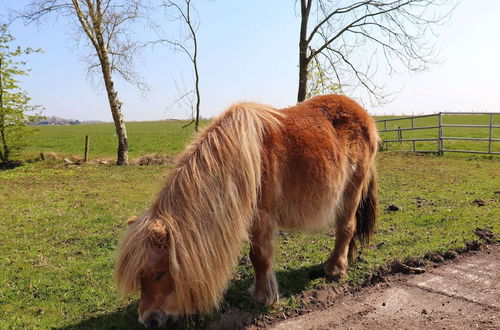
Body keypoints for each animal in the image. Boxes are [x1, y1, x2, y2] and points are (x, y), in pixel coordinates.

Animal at [115, 94, 376, 328]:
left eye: (159, 274)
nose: (148, 320)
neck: (245, 157)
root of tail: (364, 116)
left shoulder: (263, 217)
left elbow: (259, 256)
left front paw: (263, 297)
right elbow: (256, 257)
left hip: (351, 191)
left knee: (346, 228)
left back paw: (334, 269)